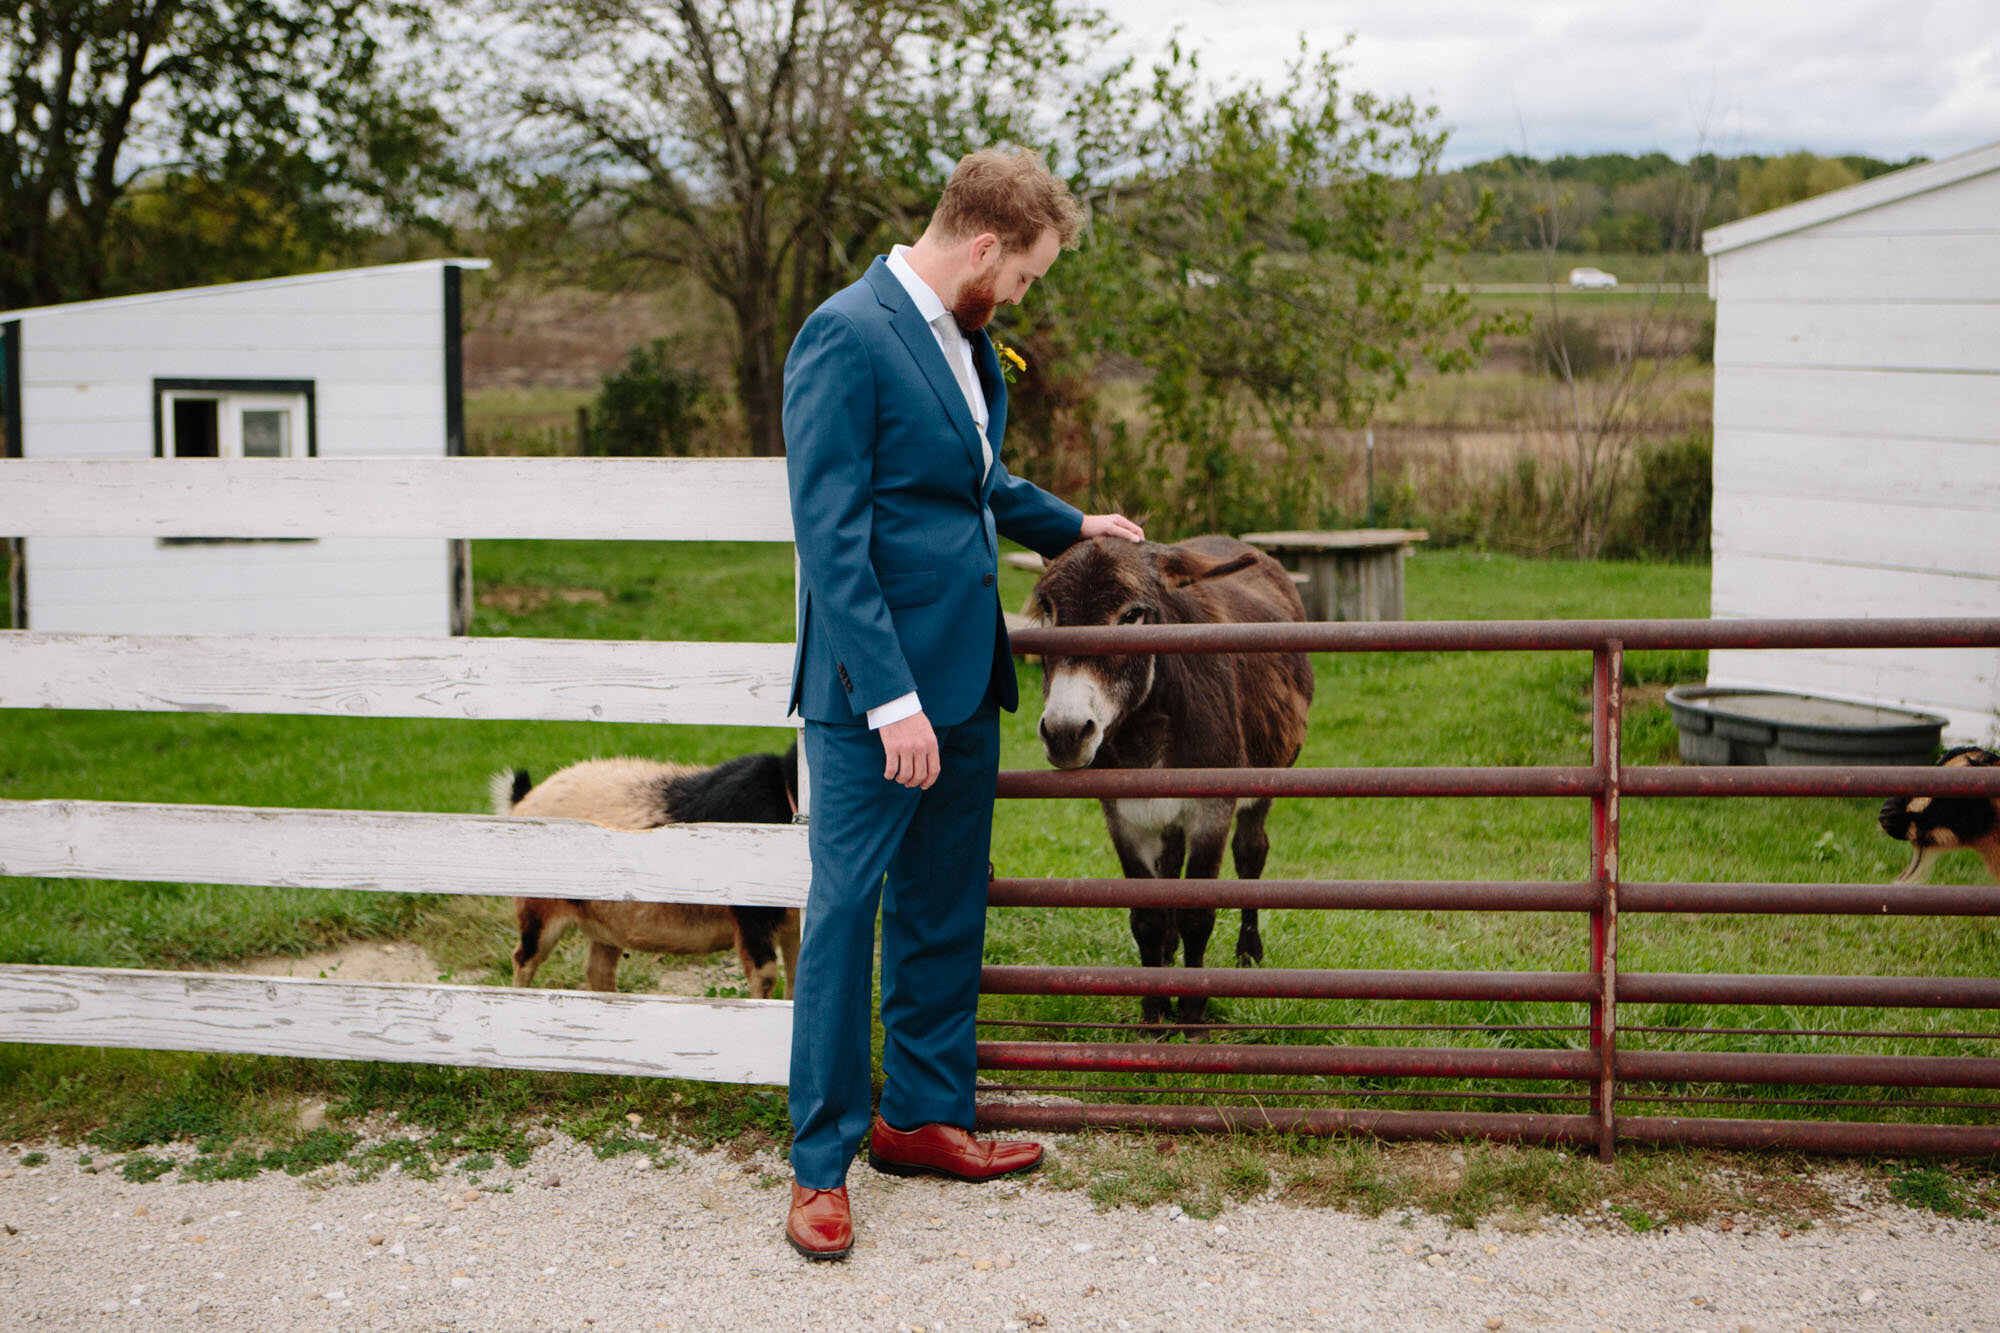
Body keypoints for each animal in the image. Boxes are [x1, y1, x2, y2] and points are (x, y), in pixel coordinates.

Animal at [496, 740, 800, 992]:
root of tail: (522, 800)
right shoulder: (752, 914)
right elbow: (766, 979)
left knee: (598, 968)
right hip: (538, 905)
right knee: (524, 959)